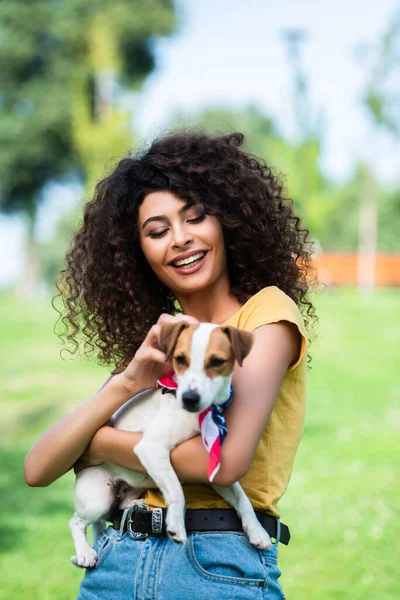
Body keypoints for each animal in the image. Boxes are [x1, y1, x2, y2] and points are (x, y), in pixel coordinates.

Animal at [70, 322, 274, 564]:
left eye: (217, 361)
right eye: (180, 359)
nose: (189, 398)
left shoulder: (215, 472)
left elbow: (242, 499)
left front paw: (257, 531)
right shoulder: (152, 449)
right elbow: (177, 490)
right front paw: (176, 525)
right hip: (97, 499)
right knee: (76, 521)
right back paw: (84, 553)